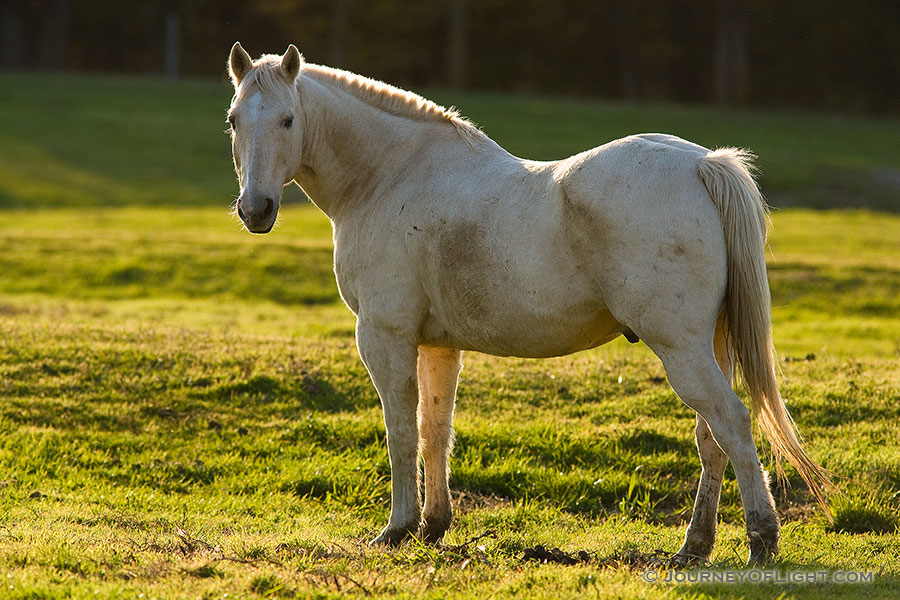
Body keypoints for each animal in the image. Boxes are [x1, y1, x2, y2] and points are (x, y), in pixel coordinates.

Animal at [225, 43, 828, 564]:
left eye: (287, 120)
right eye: (233, 119)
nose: (255, 210)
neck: (389, 176)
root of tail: (703, 164)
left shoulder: (384, 335)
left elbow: (401, 431)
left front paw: (398, 528)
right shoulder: (437, 346)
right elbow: (435, 430)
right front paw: (434, 525)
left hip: (681, 350)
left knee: (733, 423)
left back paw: (761, 541)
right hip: (711, 345)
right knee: (712, 439)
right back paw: (694, 547)